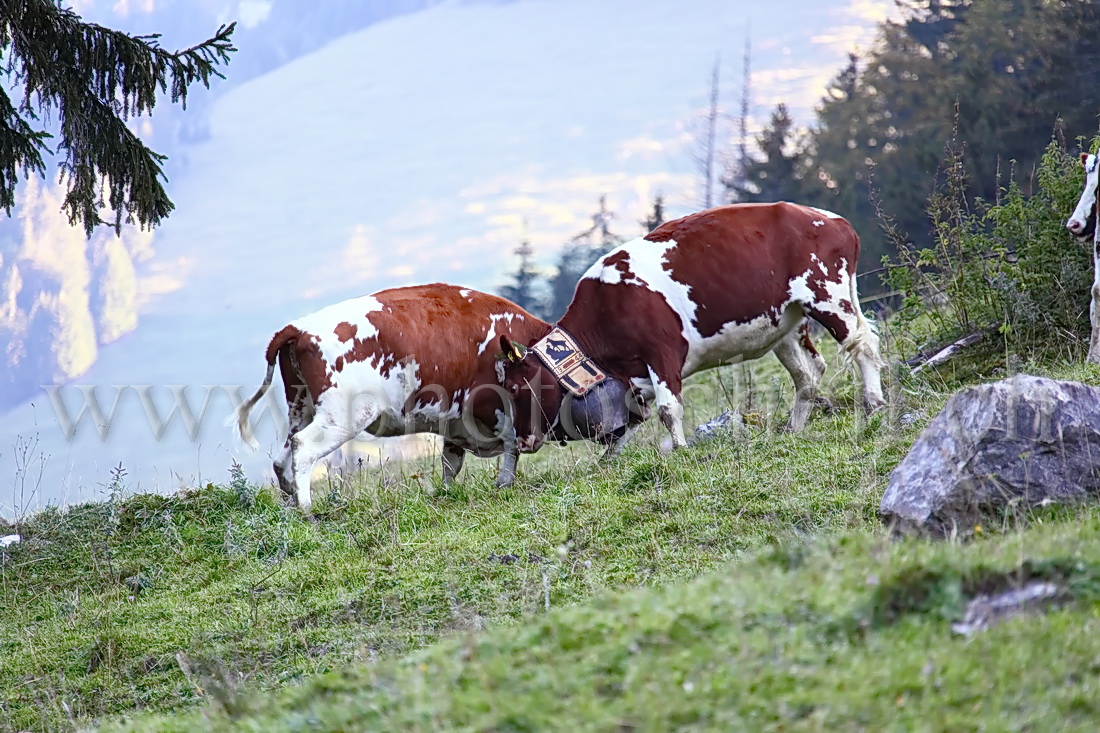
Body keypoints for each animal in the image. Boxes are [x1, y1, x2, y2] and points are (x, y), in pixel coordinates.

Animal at [237, 281, 554, 510]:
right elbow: (511, 447)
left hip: (301, 406)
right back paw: (306, 509)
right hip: (342, 415)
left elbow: (451, 463)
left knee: (283, 458)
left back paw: (289, 506)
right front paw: (504, 485)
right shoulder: (494, 408)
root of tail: (298, 328)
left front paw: (446, 493)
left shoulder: (455, 422)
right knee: (302, 448)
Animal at [497, 201, 884, 451]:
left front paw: (680, 451)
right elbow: (630, 422)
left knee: (862, 347)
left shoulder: (662, 351)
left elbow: (669, 410)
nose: (523, 440)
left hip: (828, 297)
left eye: (515, 388)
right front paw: (611, 459)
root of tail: (832, 219)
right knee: (809, 373)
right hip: (786, 323)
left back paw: (874, 406)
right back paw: (793, 428)